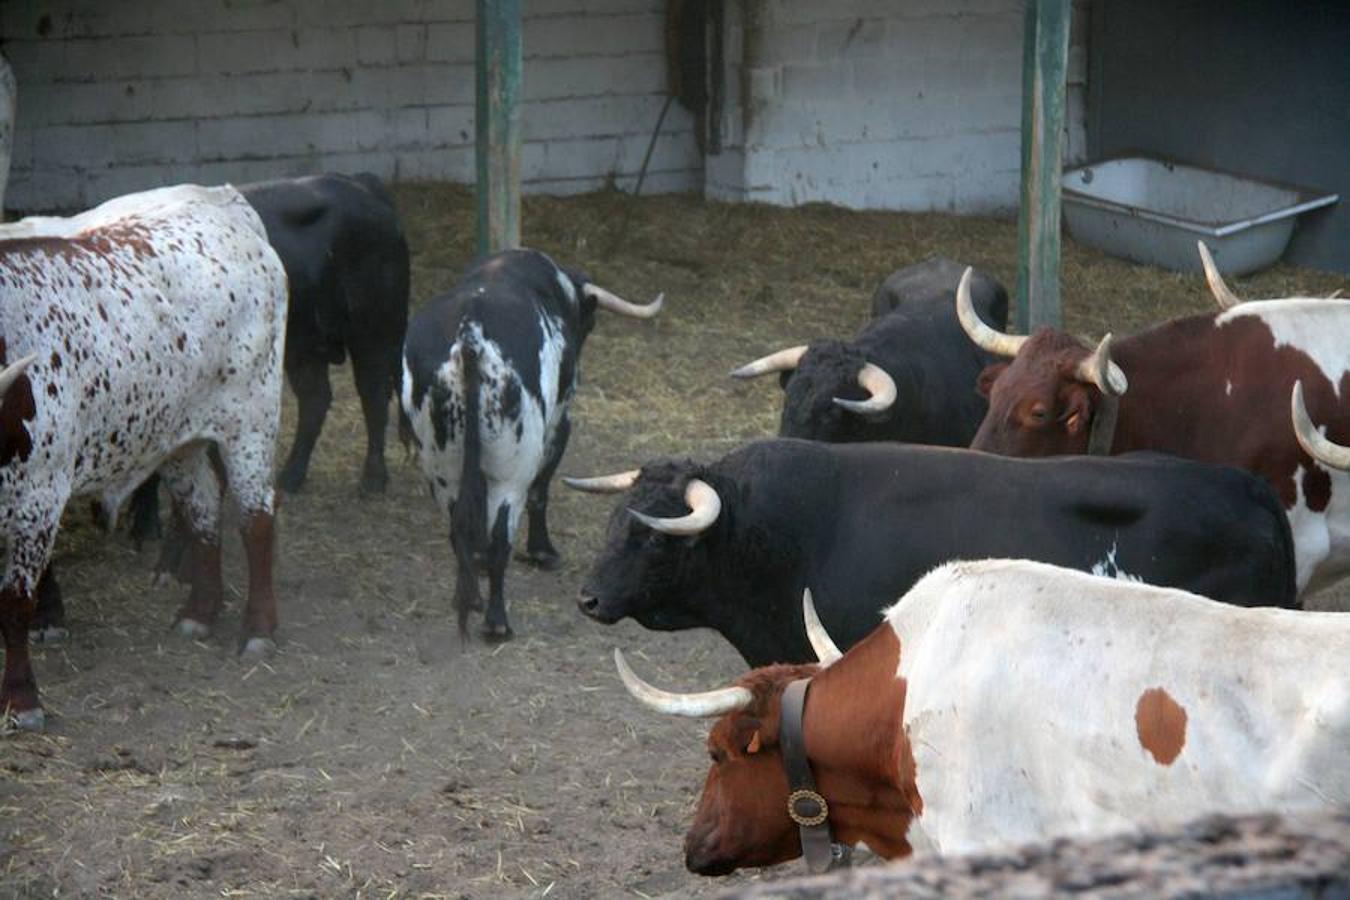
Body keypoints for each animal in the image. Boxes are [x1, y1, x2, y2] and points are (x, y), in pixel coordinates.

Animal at [0, 184, 290, 734]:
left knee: (256, 519)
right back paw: (199, 612)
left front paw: (22, 700)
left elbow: (16, 600)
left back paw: (259, 630)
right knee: (202, 508)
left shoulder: (38, 496)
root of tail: (222, 199)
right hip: (179, 438)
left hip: (251, 420)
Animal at [399, 246, 664, 639]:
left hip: (442, 469)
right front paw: (542, 551)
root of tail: (470, 333)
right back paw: (497, 622)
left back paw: (471, 597)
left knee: (458, 531)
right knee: (500, 540)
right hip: (511, 472)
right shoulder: (559, 422)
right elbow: (542, 490)